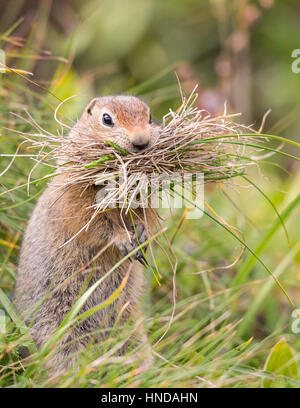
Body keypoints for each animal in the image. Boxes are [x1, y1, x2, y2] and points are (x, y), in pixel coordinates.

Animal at [15, 95, 158, 372]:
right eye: (107, 119)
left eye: (150, 117)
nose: (141, 142)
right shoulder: (74, 195)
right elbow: (94, 223)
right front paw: (124, 239)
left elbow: (144, 215)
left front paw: (142, 235)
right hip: (58, 329)